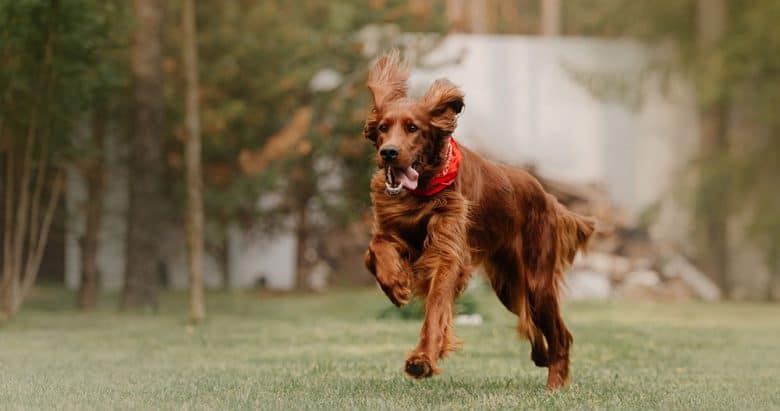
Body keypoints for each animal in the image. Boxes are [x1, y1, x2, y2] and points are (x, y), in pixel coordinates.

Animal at [362, 53, 596, 392]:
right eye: (382, 127)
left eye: (413, 128)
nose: (389, 152)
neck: (421, 192)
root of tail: (546, 195)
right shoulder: (394, 227)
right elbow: (374, 249)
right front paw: (394, 284)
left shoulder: (448, 254)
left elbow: (436, 306)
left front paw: (423, 359)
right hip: (508, 285)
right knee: (532, 322)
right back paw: (540, 356)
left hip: (537, 282)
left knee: (561, 335)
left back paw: (554, 384)